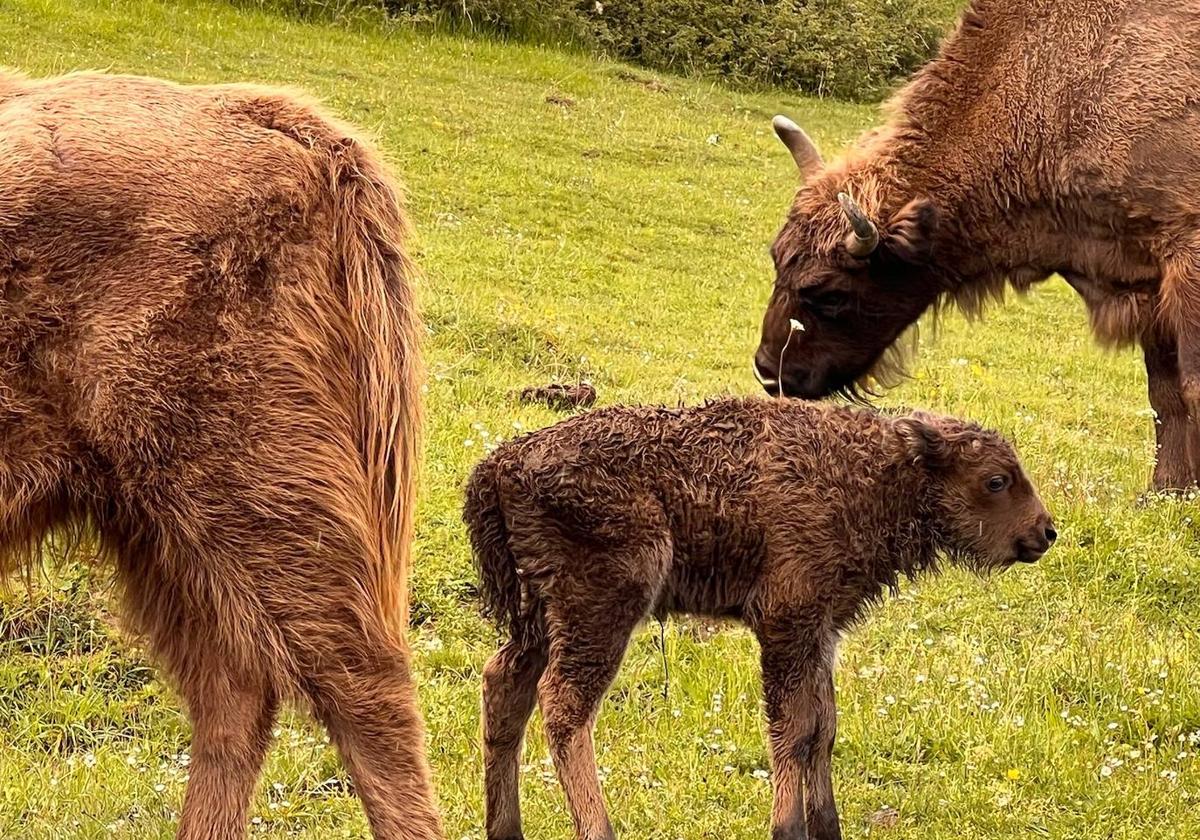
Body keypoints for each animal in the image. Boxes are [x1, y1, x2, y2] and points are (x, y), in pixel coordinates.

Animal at [463, 398, 1056, 840]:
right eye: (996, 480)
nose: (1046, 532)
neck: (873, 474)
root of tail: (501, 465)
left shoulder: (820, 631)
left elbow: (822, 728)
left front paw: (827, 827)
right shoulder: (786, 624)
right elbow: (792, 728)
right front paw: (788, 827)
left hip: (539, 615)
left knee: (505, 685)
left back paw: (505, 829)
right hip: (601, 607)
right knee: (564, 706)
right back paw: (599, 829)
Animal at [748, 0, 1200, 489]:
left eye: (831, 292)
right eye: (777, 262)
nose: (769, 372)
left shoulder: (1184, 258)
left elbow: (1191, 386)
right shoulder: (1146, 280)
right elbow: (1164, 392)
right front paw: (1166, 489)